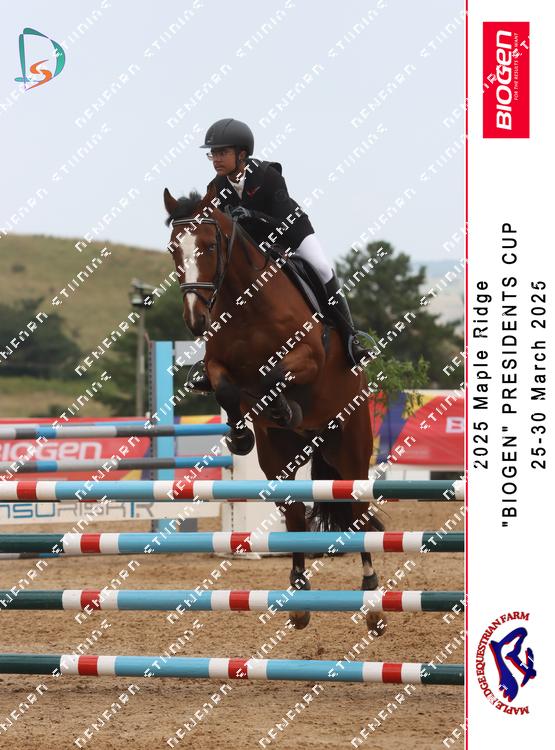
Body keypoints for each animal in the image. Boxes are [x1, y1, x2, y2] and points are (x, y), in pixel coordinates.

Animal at [163, 187, 386, 633]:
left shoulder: (309, 356)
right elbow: (226, 388)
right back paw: (298, 596)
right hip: (279, 460)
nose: (195, 319)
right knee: (295, 513)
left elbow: (275, 374)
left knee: (358, 514)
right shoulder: (218, 366)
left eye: (209, 246)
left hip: (350, 449)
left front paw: (282, 406)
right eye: (174, 250)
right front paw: (240, 435)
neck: (246, 302)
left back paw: (372, 598)